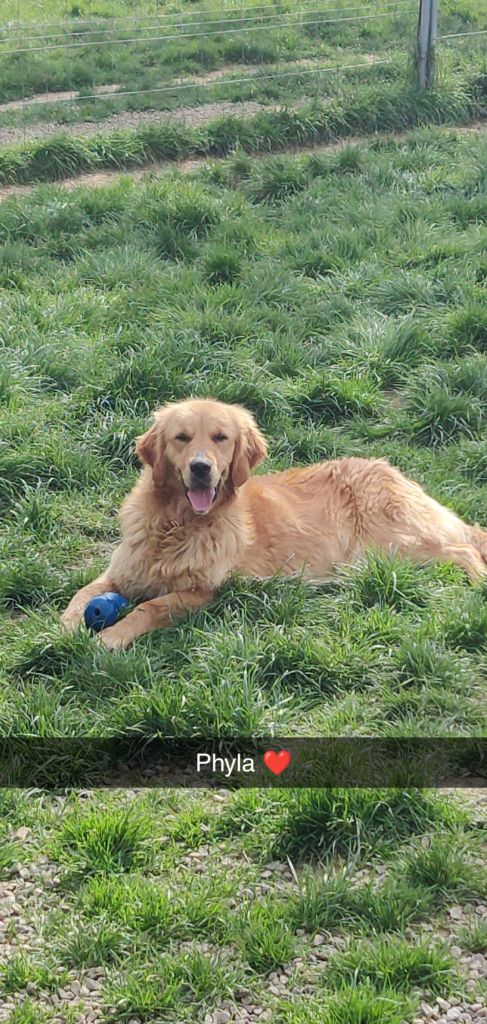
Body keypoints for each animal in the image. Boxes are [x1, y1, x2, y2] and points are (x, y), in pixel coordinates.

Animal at [60, 397, 486, 647]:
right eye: (182, 437)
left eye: (220, 437)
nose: (201, 468)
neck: (176, 523)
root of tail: (390, 470)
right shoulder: (121, 571)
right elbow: (82, 592)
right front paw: (66, 627)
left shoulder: (203, 592)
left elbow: (150, 608)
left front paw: (111, 637)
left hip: (396, 546)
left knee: (464, 549)